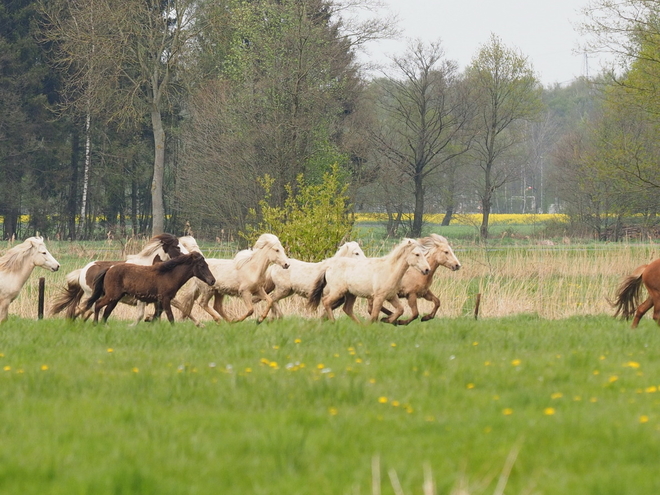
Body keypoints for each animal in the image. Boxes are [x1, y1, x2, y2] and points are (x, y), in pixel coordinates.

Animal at [86, 252, 215, 326]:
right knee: (98, 304)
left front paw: (149, 321)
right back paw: (95, 324)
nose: (212, 281)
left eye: (207, 265)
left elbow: (157, 315)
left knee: (106, 311)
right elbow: (170, 316)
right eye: (202, 265)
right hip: (112, 296)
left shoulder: (159, 301)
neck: (169, 275)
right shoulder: (165, 299)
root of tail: (109, 269)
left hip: (115, 299)